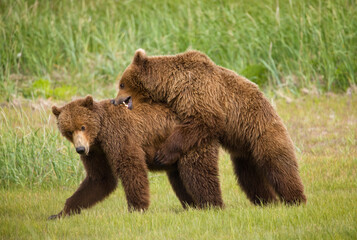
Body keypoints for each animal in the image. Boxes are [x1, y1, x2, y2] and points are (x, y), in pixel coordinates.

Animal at [49, 96, 222, 219]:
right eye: (69, 131)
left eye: (83, 126)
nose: (80, 149)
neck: (99, 135)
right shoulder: (97, 152)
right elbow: (100, 178)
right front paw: (60, 213)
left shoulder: (118, 135)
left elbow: (131, 167)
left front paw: (136, 208)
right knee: (179, 180)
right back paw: (192, 206)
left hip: (188, 144)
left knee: (198, 173)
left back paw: (212, 206)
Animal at [113, 49, 306, 206]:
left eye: (121, 84)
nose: (114, 100)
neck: (169, 84)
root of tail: (273, 110)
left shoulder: (195, 89)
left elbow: (204, 119)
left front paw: (163, 154)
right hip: (243, 150)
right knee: (249, 177)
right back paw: (267, 200)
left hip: (262, 131)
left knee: (279, 166)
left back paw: (295, 199)